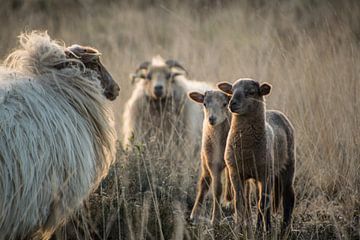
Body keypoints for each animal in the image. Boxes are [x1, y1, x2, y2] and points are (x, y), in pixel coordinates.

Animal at [187, 90, 232, 225]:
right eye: (205, 104)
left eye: (225, 104)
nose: (212, 119)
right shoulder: (212, 162)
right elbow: (216, 188)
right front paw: (215, 219)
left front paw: (216, 217)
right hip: (204, 158)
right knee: (204, 182)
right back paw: (194, 214)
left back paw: (229, 200)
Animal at [217, 78, 296, 234]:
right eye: (231, 91)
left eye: (251, 92)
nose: (232, 103)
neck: (247, 149)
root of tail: (276, 112)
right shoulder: (236, 172)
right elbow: (240, 203)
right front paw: (240, 230)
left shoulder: (265, 174)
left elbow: (262, 204)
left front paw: (261, 230)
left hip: (288, 164)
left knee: (288, 196)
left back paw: (284, 229)